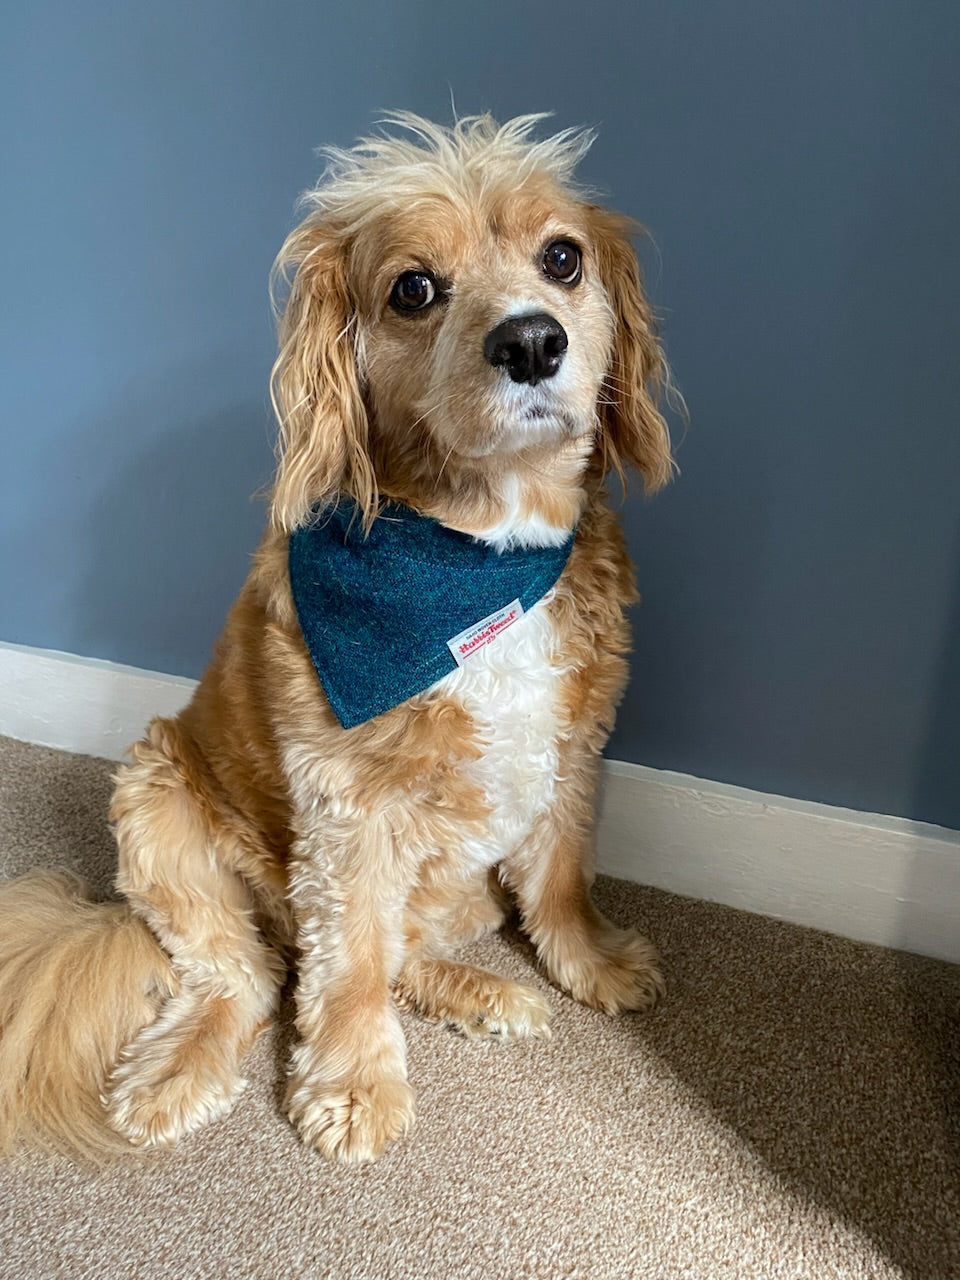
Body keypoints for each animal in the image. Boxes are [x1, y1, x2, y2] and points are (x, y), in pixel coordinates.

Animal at [0, 115, 675, 1167]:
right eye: (413, 289)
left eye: (563, 258)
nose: (531, 339)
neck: (481, 553)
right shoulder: (348, 807)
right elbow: (349, 958)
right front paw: (355, 1084)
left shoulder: (571, 746)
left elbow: (561, 875)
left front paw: (594, 962)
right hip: (159, 804)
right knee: (251, 973)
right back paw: (180, 1071)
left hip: (448, 881)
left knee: (399, 948)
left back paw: (478, 991)